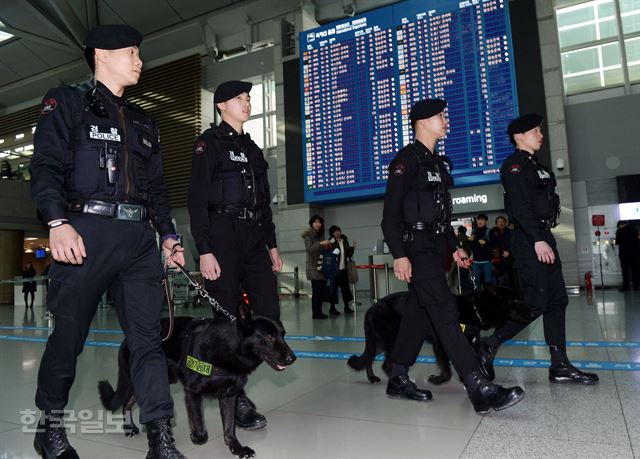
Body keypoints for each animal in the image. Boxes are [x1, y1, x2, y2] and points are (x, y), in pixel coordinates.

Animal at [98, 302, 298, 459]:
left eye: (283, 334)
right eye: (269, 337)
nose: (293, 358)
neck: (227, 347)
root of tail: (126, 340)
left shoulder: (229, 396)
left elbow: (229, 427)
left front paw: (236, 448)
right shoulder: (192, 393)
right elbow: (200, 427)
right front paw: (197, 437)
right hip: (135, 380)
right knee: (126, 402)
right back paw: (129, 427)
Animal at [348, 286, 532, 386]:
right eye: (515, 301)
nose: (532, 312)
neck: (475, 308)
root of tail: (372, 307)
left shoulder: (468, 344)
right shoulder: (441, 346)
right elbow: (447, 370)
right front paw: (439, 379)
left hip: (380, 342)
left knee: (370, 358)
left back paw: (372, 378)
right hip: (393, 341)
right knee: (385, 364)